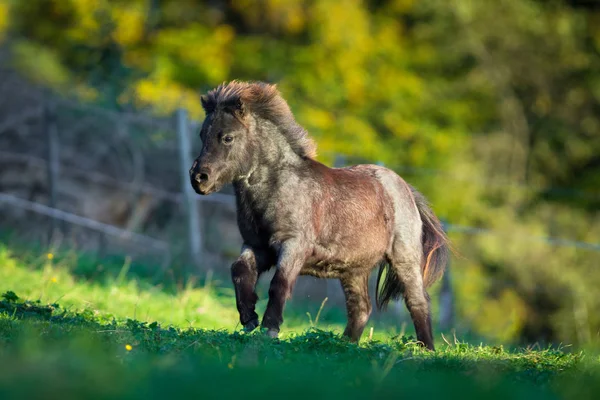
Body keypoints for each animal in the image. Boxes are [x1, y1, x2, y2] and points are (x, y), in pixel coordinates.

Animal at [190, 81, 448, 350]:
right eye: (202, 135)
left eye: (227, 137)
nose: (199, 178)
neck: (280, 186)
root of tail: (406, 189)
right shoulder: (257, 246)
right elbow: (239, 270)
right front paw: (249, 317)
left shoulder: (293, 245)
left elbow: (279, 283)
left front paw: (269, 328)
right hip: (354, 270)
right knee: (360, 308)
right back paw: (344, 345)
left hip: (404, 259)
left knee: (417, 301)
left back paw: (426, 350)